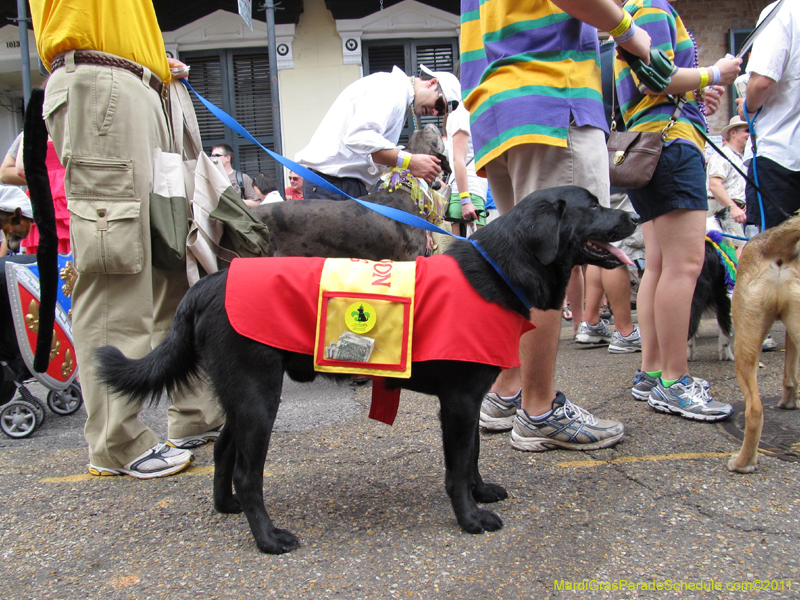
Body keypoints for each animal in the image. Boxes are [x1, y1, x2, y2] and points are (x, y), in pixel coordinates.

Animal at [97, 186, 640, 552]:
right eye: (593, 206)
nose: (634, 215)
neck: (497, 270)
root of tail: (207, 283)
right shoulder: (459, 402)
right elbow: (456, 466)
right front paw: (470, 517)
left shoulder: (469, 403)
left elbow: (473, 455)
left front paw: (482, 491)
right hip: (258, 396)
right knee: (250, 472)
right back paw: (268, 538)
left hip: (243, 393)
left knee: (224, 448)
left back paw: (226, 506)